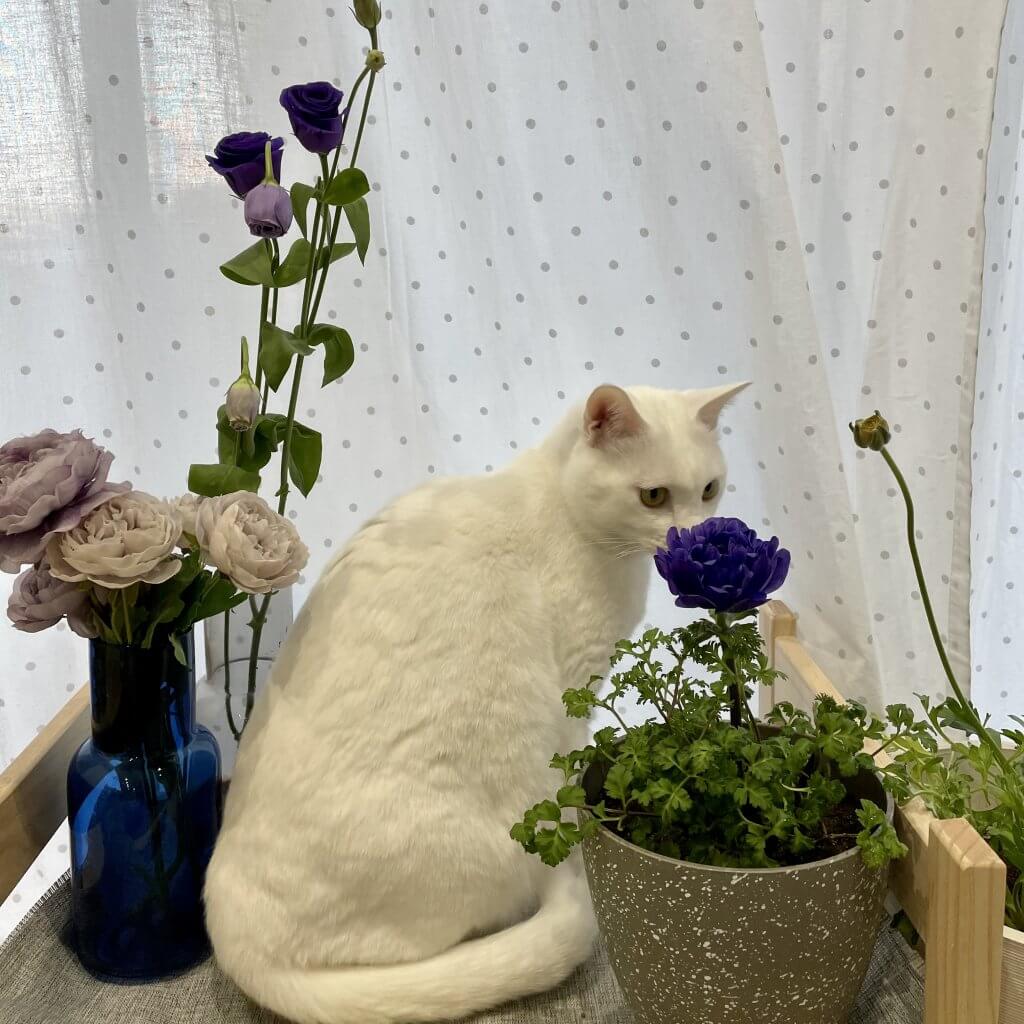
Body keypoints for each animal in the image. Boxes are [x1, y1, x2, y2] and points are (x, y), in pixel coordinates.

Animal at [204, 382, 748, 1024]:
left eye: (709, 490)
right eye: (654, 496)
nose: (696, 538)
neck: (563, 510)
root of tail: (234, 944)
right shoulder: (574, 691)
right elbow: (573, 786)